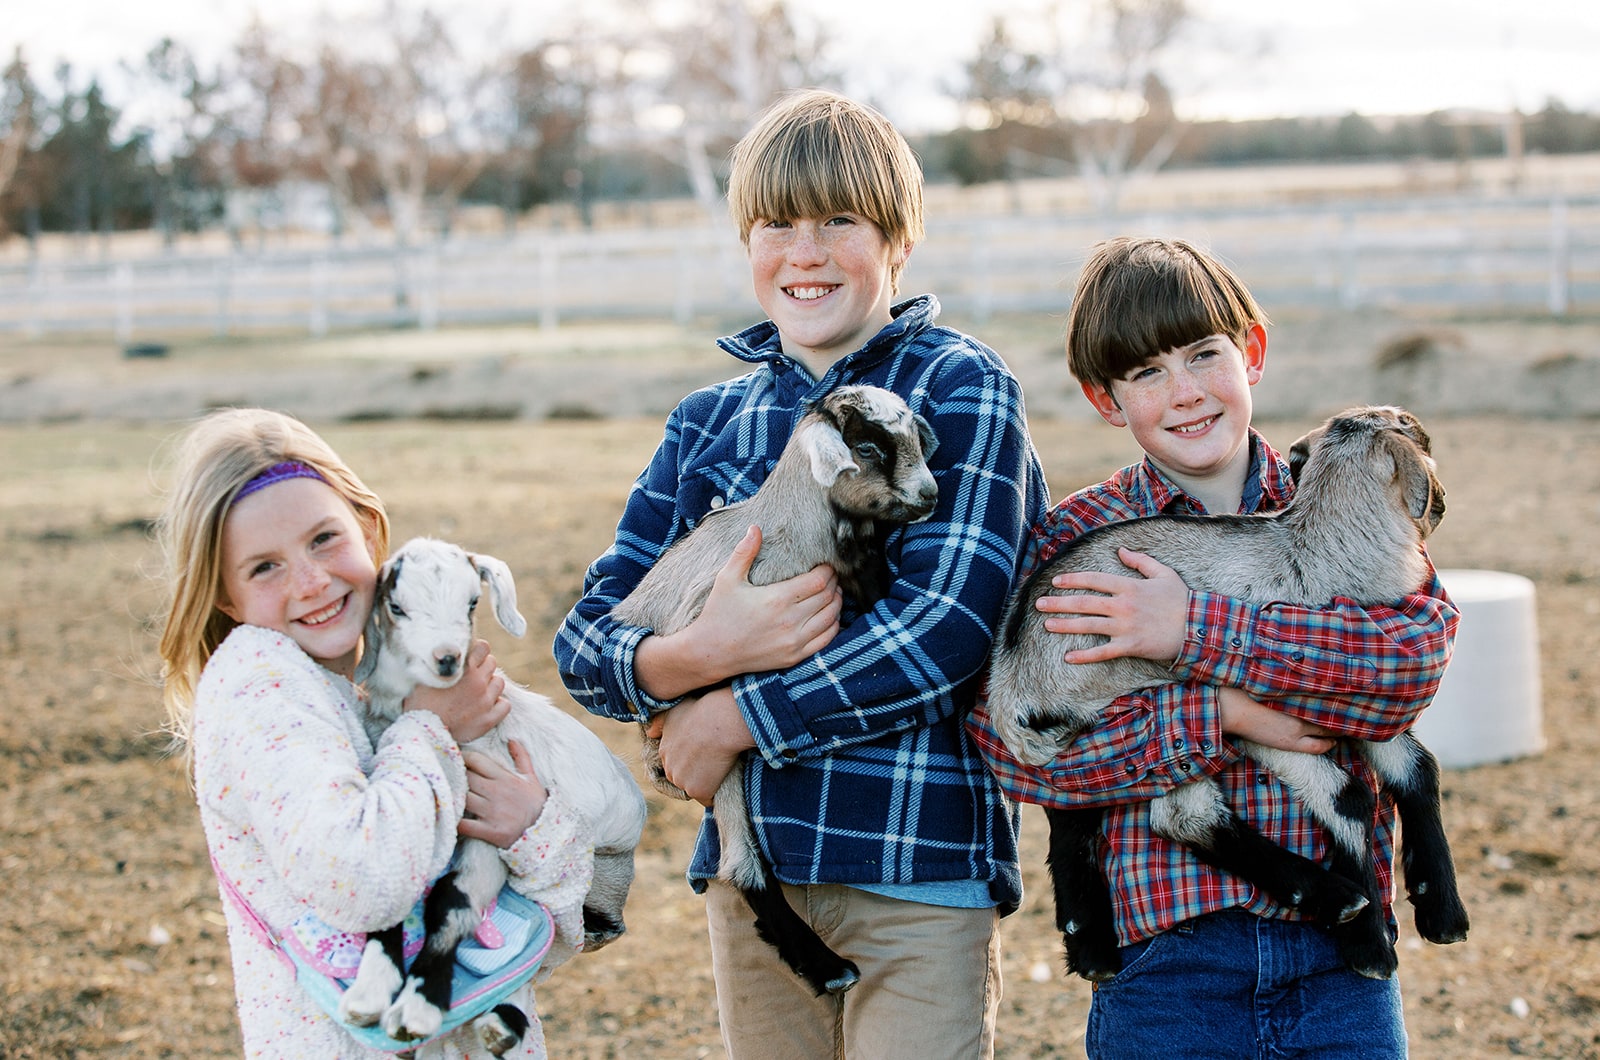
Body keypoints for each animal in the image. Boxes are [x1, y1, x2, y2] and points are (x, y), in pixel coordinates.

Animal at [344, 541, 649, 1056]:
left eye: (472, 603)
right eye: (396, 606)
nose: (446, 659)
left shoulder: (487, 832)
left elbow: (451, 903)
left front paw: (417, 1007)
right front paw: (370, 989)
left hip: (601, 880)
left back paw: (501, 1022)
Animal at [992, 408, 1465, 986]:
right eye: (1419, 437)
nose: (1442, 503)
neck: (1314, 552)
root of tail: (1008, 678)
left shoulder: (1369, 707)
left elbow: (1417, 769)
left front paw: (1442, 911)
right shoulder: (1269, 719)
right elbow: (1349, 797)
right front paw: (1370, 945)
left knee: (1078, 810)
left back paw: (1091, 946)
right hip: (1152, 696)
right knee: (1178, 815)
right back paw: (1330, 896)